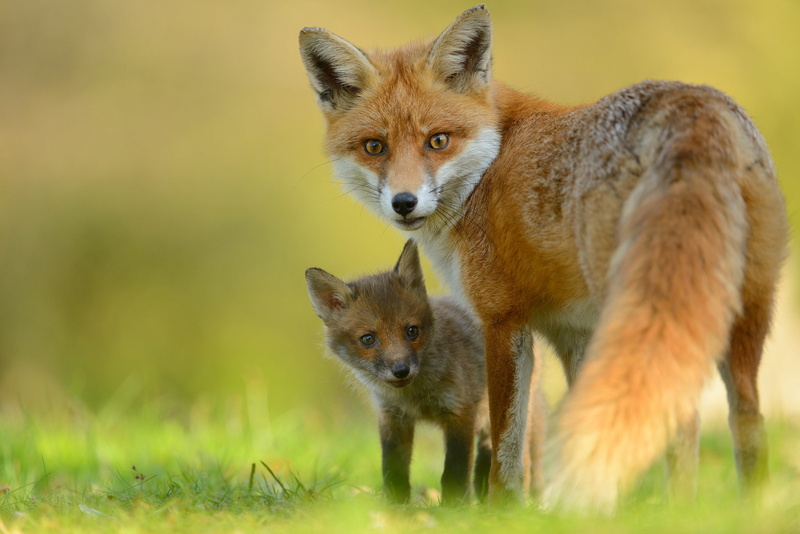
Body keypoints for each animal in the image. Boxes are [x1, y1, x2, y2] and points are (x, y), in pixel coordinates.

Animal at [305, 240, 546, 504]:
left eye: (412, 331)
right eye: (367, 339)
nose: (401, 370)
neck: (416, 397)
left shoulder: (460, 412)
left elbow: (454, 471)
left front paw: (454, 506)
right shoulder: (392, 417)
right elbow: (393, 469)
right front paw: (396, 506)